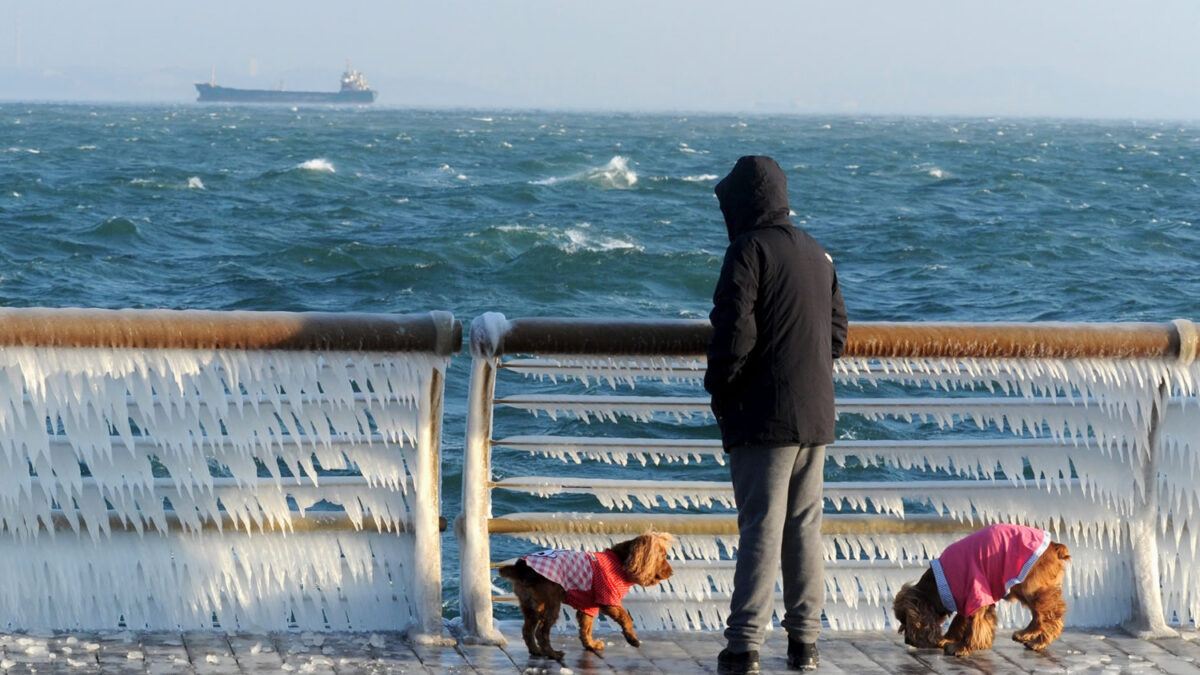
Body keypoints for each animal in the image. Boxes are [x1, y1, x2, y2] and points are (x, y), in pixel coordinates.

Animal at [496, 530, 676, 658]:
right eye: (663, 556)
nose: (672, 572)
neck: (619, 562)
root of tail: (520, 567)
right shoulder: (608, 600)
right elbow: (626, 618)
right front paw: (633, 639)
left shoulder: (588, 606)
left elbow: (586, 627)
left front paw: (591, 645)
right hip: (551, 604)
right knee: (541, 632)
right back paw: (553, 654)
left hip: (532, 605)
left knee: (527, 630)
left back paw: (536, 651)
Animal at [892, 523, 1070, 653]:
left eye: (905, 619)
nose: (907, 640)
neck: (935, 585)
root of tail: (1054, 546)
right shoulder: (972, 599)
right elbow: (962, 621)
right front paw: (948, 639)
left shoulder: (974, 595)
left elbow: (971, 625)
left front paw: (961, 647)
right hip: (1025, 589)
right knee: (1039, 616)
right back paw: (1025, 635)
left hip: (1031, 588)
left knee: (1052, 617)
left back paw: (1038, 642)